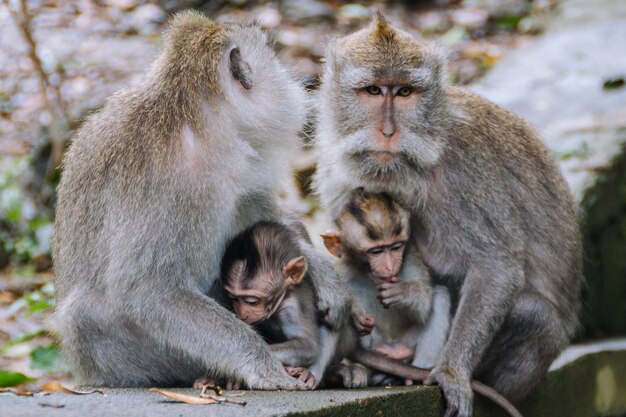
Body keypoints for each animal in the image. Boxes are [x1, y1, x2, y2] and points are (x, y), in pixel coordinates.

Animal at [50, 10, 348, 390]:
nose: (289, 75)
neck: (196, 120)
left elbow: (261, 220)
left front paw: (319, 269)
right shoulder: (168, 184)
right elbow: (148, 290)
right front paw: (262, 364)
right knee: (84, 315)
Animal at [322, 190, 448, 378]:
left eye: (396, 247)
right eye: (376, 251)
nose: (389, 267)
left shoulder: (410, 257)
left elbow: (425, 304)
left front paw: (403, 293)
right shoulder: (340, 270)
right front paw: (356, 314)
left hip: (407, 342)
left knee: (440, 296)